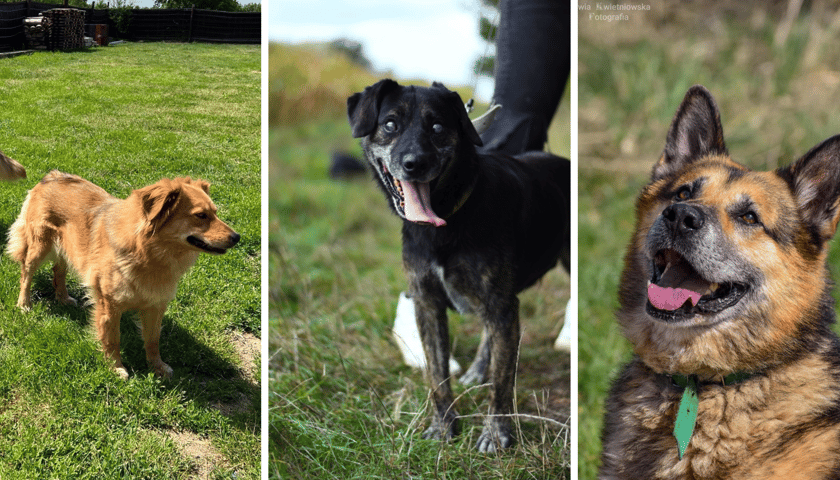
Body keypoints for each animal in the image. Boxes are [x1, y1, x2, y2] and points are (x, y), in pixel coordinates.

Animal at [7, 172, 240, 378]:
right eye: (201, 215)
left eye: (215, 213)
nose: (237, 237)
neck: (149, 253)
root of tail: (52, 176)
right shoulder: (110, 304)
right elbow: (112, 339)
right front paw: (115, 367)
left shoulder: (156, 305)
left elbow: (153, 340)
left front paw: (157, 366)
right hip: (39, 245)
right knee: (26, 274)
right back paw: (24, 303)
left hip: (69, 248)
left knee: (59, 270)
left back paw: (63, 297)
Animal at [348, 79, 572, 454]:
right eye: (390, 124)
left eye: (438, 127)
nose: (414, 163)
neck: (446, 220)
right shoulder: (428, 304)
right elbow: (437, 375)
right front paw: (442, 427)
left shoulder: (500, 303)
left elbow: (502, 382)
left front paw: (496, 434)